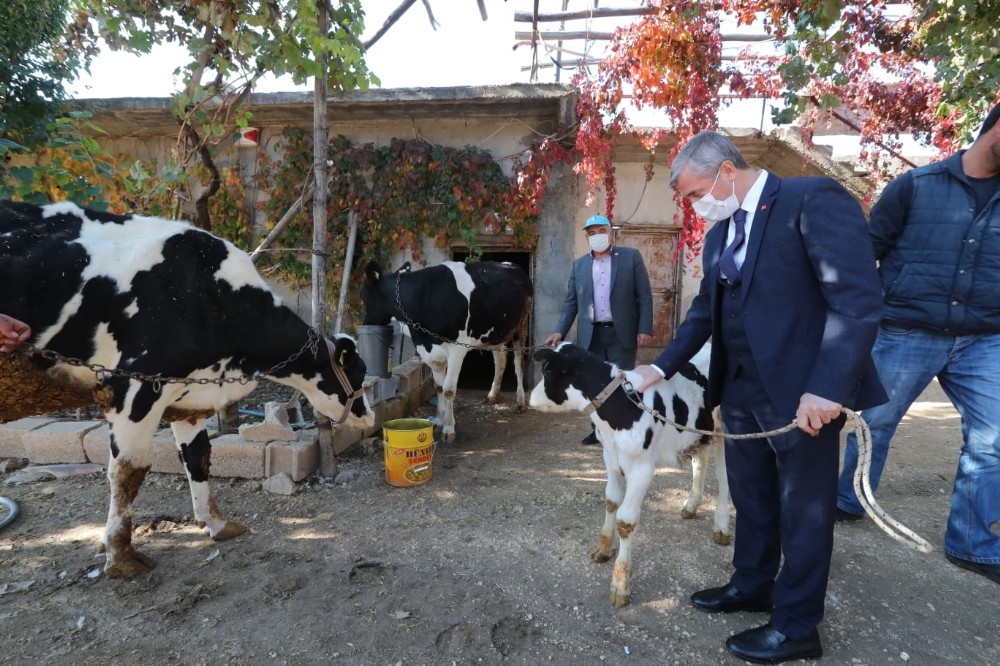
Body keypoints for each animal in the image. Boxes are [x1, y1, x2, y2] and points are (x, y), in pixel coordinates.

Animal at [0, 197, 376, 576]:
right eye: (359, 370)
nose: (369, 417)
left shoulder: (189, 394)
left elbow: (198, 456)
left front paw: (216, 523)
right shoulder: (134, 386)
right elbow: (128, 472)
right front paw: (120, 556)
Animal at [360, 260, 532, 440]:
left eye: (362, 296)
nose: (366, 323)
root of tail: (510, 265)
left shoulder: (457, 348)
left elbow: (449, 389)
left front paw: (449, 428)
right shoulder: (430, 351)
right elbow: (439, 388)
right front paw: (439, 420)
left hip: (521, 327)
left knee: (518, 363)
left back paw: (520, 402)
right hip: (495, 333)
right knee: (501, 360)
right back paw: (492, 395)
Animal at [528, 340, 732, 604]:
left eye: (547, 371)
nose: (530, 399)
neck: (621, 408)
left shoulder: (642, 468)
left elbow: (626, 521)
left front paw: (620, 583)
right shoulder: (610, 457)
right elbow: (611, 501)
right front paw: (603, 549)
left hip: (724, 431)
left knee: (724, 476)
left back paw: (722, 526)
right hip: (696, 433)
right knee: (701, 462)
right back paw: (691, 505)